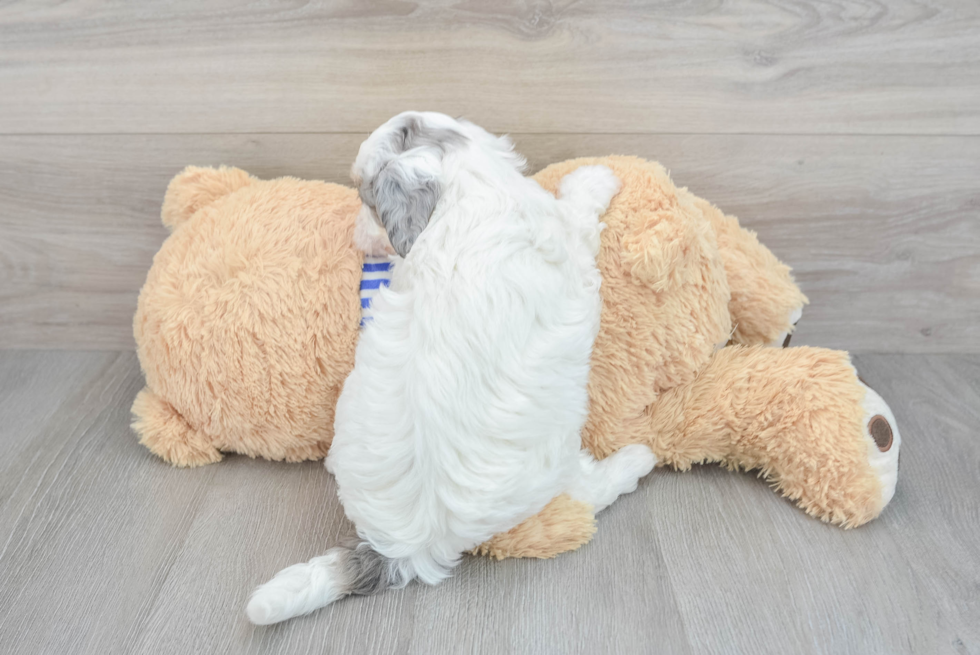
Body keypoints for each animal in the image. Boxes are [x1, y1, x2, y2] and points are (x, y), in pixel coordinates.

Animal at [247, 111, 660, 624]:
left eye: (368, 201)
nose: (357, 238)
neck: (465, 188)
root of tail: (405, 546)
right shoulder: (564, 232)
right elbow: (578, 210)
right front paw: (595, 177)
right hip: (553, 461)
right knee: (588, 491)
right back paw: (635, 461)